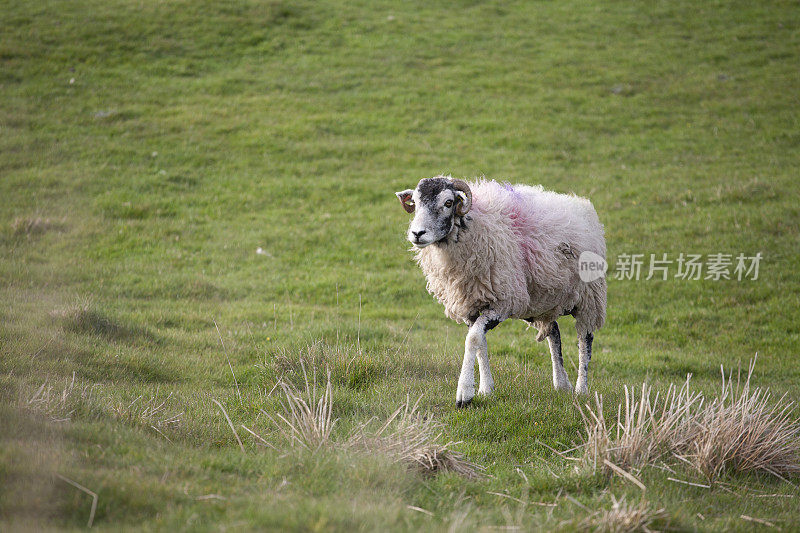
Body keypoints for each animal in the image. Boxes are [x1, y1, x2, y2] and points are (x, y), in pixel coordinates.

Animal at [394, 177, 608, 406]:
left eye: (448, 203)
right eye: (415, 202)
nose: (417, 234)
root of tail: (584, 207)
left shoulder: (503, 303)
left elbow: (472, 339)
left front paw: (464, 393)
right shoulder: (471, 305)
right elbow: (480, 342)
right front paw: (485, 389)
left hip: (589, 297)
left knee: (585, 340)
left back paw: (581, 389)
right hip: (538, 300)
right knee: (554, 331)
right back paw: (561, 384)